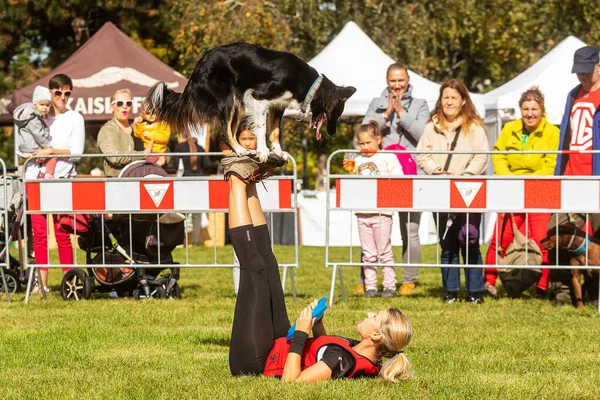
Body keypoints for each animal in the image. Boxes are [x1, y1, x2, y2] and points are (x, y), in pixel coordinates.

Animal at [142, 42, 354, 162]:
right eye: (336, 114)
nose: (333, 133)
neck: (310, 85)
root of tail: (199, 65)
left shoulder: (278, 106)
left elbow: (274, 131)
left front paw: (278, 152)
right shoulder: (259, 98)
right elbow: (261, 128)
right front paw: (263, 151)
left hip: (239, 106)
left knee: (230, 130)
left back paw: (239, 151)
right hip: (230, 100)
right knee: (224, 131)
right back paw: (240, 150)